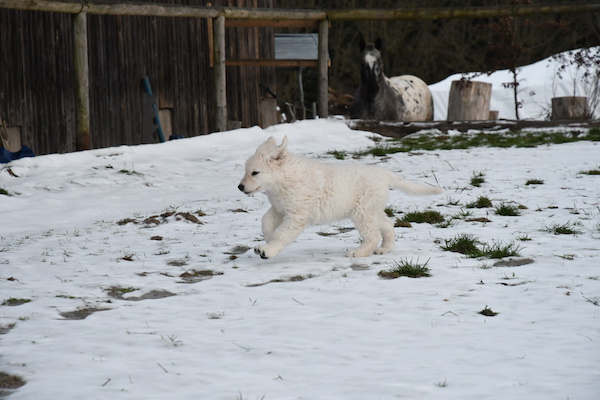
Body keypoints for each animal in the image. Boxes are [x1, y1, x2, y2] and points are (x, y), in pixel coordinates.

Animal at [237, 136, 442, 258]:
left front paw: (268, 249)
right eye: (246, 171)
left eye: (255, 173)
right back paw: (385, 249)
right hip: (372, 210)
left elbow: (282, 233)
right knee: (387, 224)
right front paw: (267, 239)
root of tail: (383, 174)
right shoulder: (279, 208)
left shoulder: (297, 216)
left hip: (362, 212)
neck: (283, 180)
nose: (240, 187)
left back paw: (359, 253)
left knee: (373, 234)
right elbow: (266, 221)